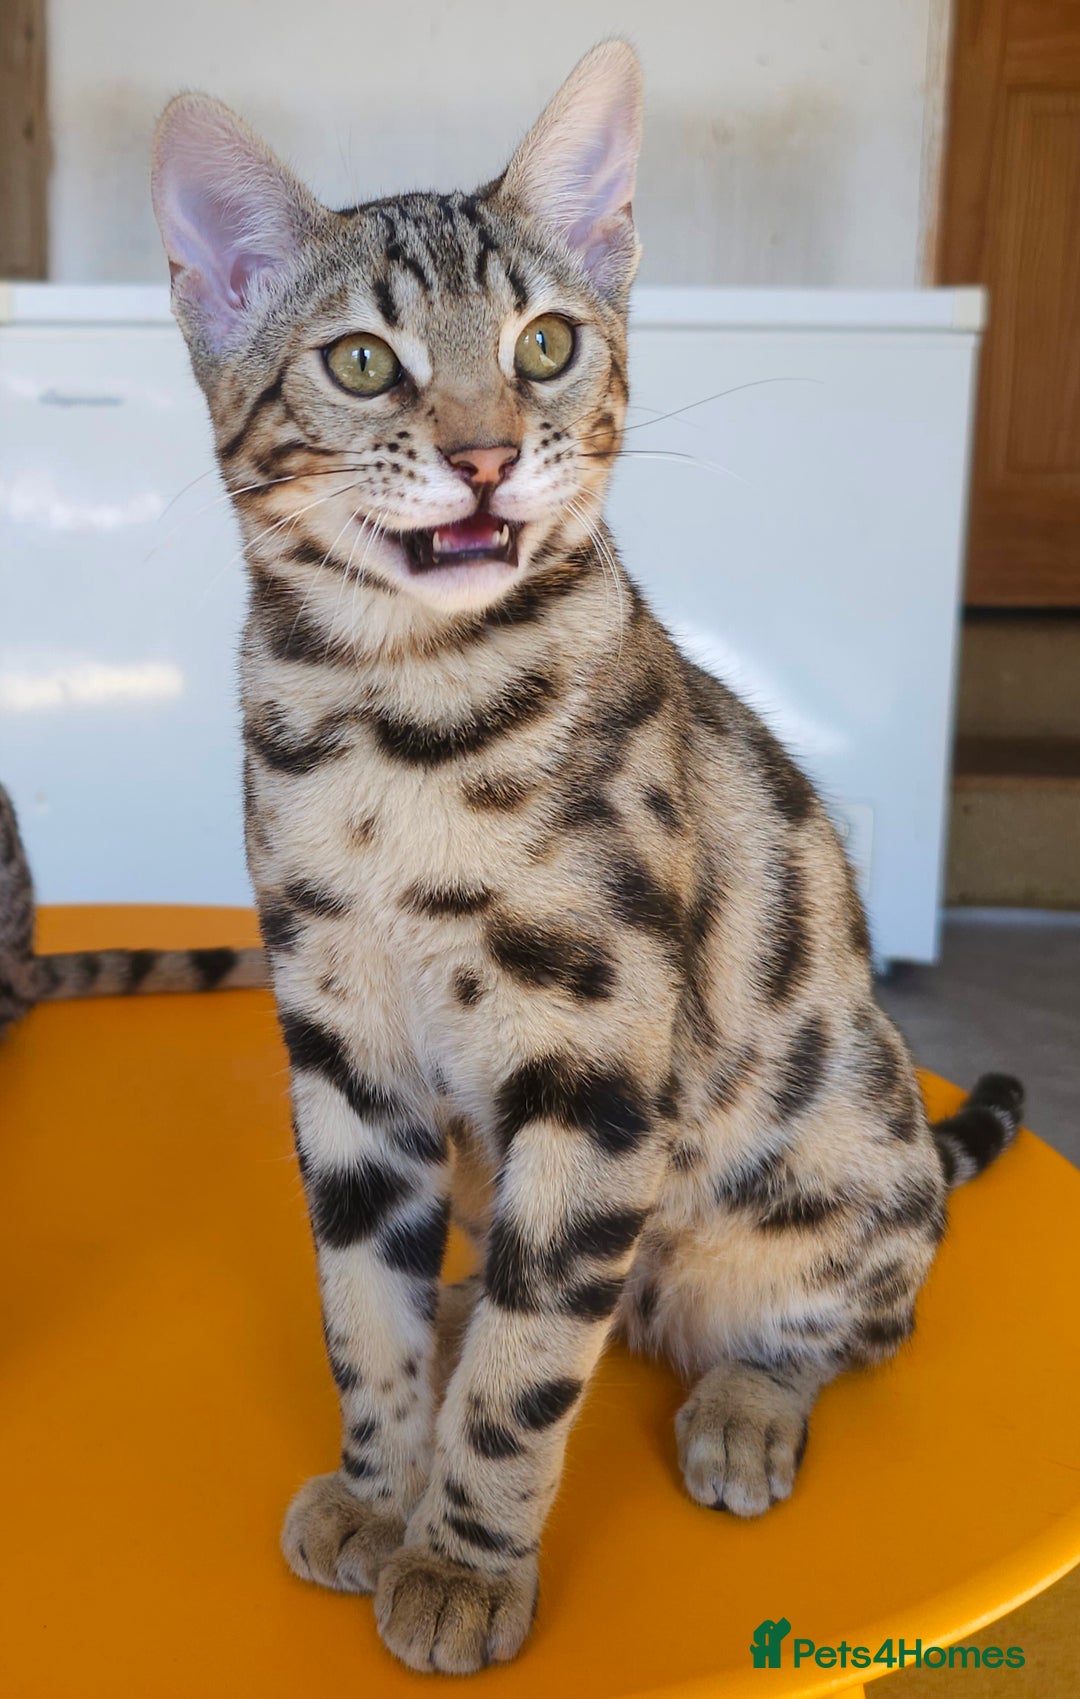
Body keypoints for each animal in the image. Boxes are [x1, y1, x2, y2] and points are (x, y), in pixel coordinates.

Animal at [150, 41, 1023, 1674]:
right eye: (361, 362)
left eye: (545, 343)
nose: (488, 452)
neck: (401, 722)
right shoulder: (343, 1046)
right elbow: (361, 1305)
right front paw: (383, 1489)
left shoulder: (598, 1057)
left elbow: (530, 1368)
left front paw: (463, 1564)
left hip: (828, 1172)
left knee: (847, 1320)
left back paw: (743, 1406)